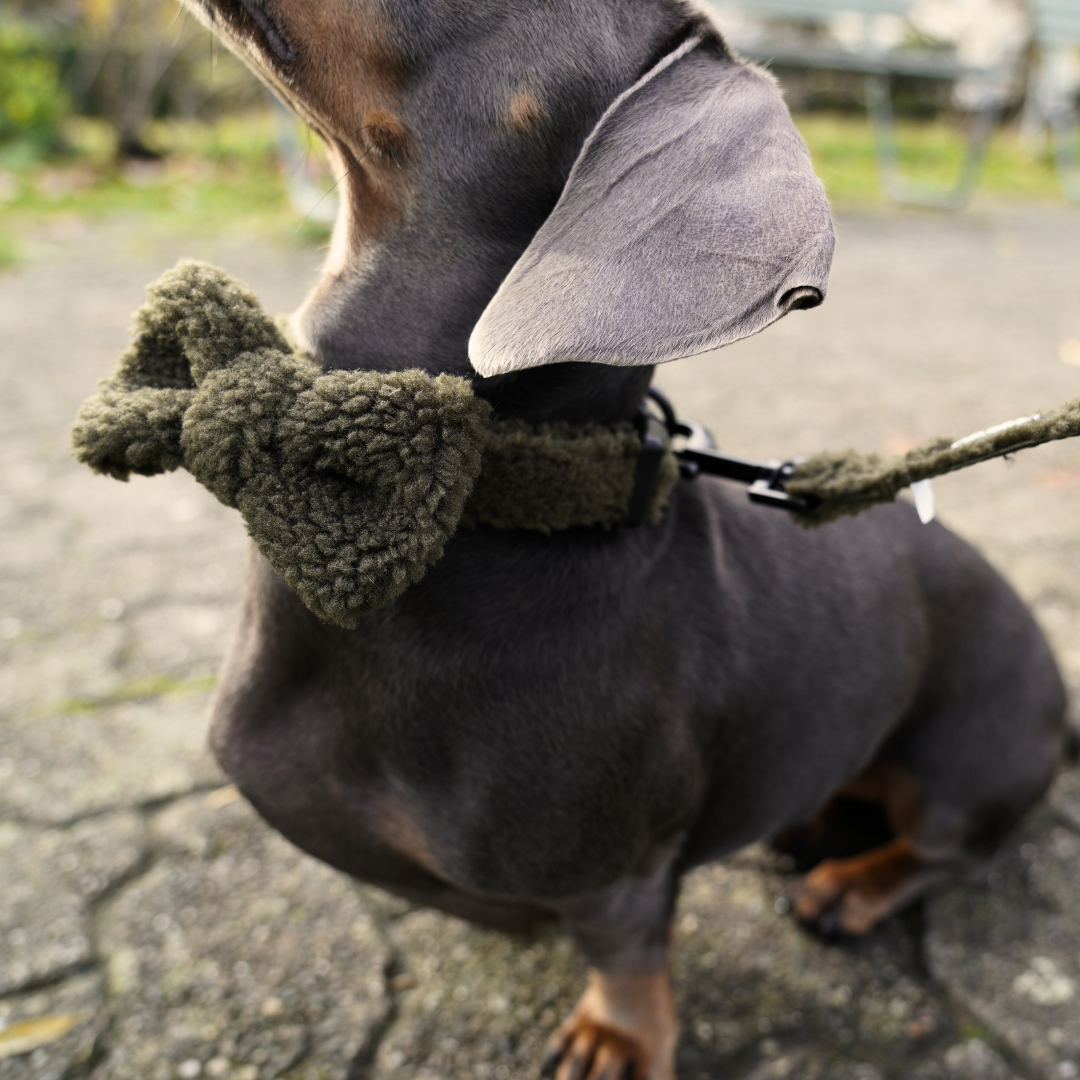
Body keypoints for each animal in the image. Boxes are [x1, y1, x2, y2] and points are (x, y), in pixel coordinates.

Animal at [177, 4, 1062, 1075]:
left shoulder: (617, 873)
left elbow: (628, 949)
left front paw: (617, 1036)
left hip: (965, 764)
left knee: (951, 854)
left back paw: (849, 885)